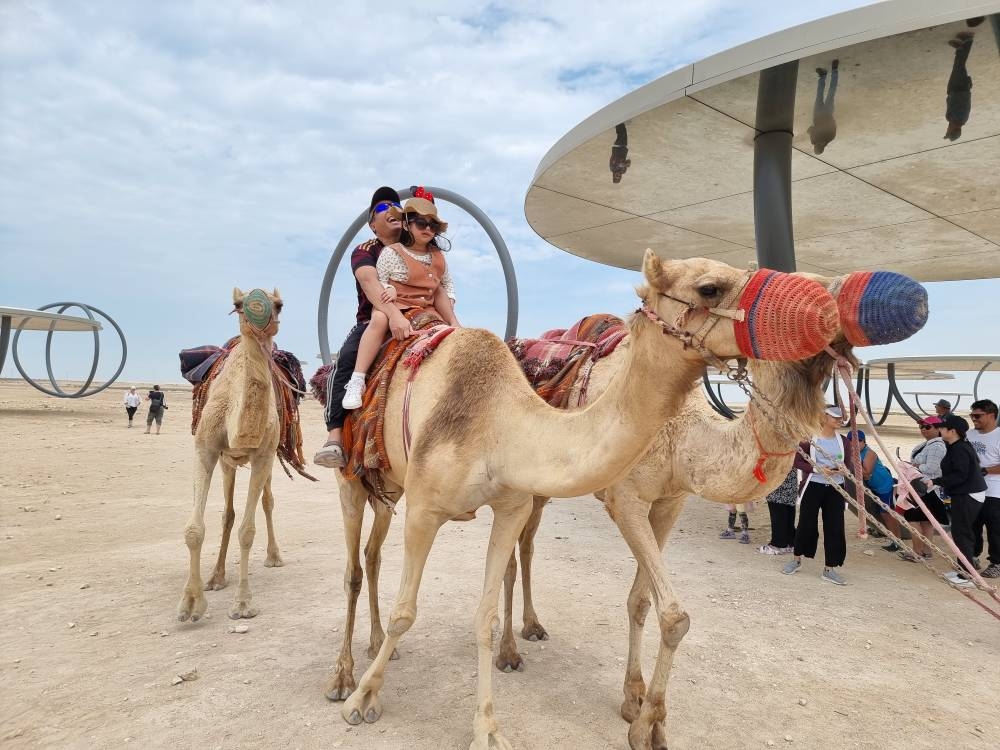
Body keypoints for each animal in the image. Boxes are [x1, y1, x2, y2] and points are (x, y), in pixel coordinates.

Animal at [177, 287, 285, 623]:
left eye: (279, 305)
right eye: (238, 304)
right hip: (228, 463)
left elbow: (247, 531)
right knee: (227, 513)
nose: (257, 311)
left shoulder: (264, 455)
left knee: (267, 502)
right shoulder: (206, 448)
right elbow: (194, 529)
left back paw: (274, 557)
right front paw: (190, 603)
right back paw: (216, 577)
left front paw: (242, 604)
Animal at [324, 251, 841, 750]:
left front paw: (495, 728)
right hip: (354, 479)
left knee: (390, 555)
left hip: (398, 486)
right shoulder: (432, 507)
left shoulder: (595, 502)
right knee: (352, 569)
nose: (826, 307)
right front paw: (362, 700)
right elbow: (405, 612)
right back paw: (343, 675)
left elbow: (497, 616)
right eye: (709, 287)